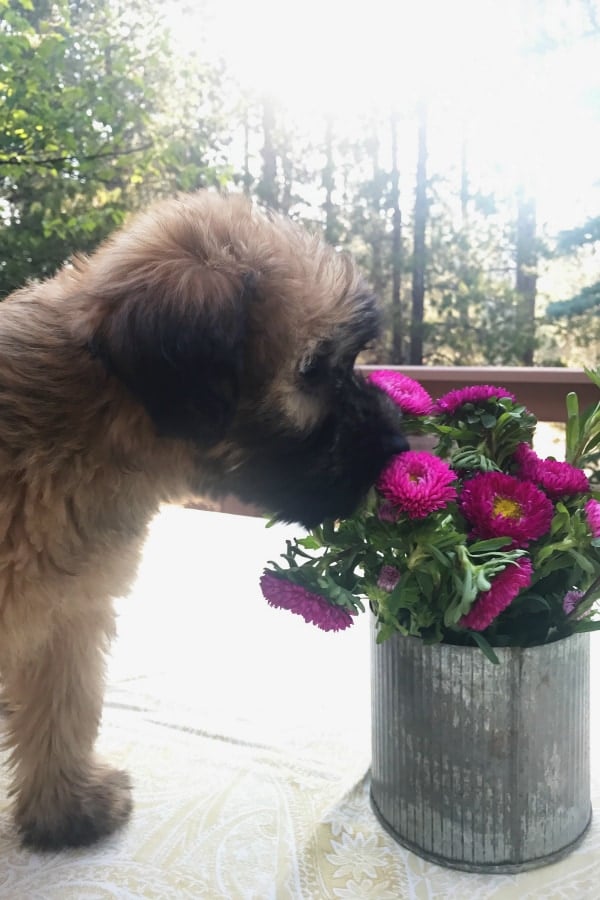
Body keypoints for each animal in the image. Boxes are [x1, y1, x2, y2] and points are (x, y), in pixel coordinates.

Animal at [0, 192, 408, 852]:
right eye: (312, 369)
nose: (397, 445)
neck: (92, 419)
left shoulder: (68, 613)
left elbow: (67, 707)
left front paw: (65, 806)